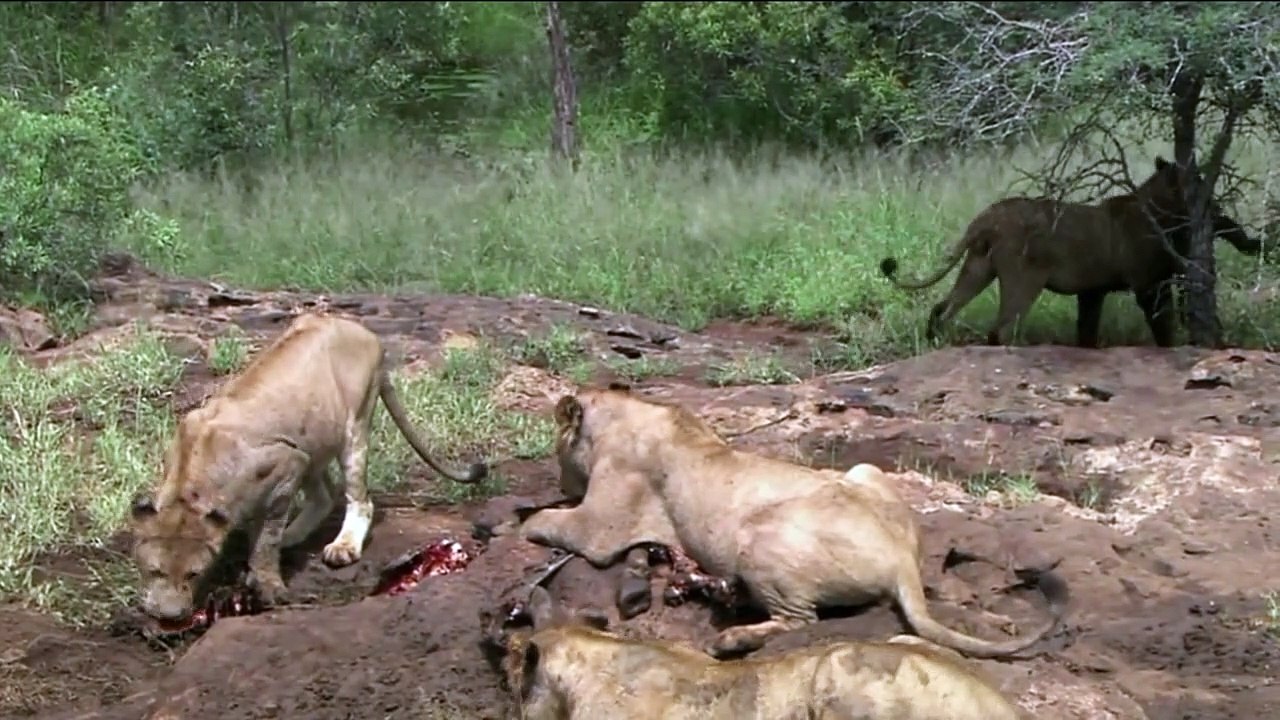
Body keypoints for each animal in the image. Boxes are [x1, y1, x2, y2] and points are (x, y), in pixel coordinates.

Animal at [129, 313, 489, 625]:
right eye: (154, 571)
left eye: (193, 574)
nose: (169, 615)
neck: (190, 487)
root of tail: (362, 331)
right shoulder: (294, 459)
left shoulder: (285, 467)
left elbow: (266, 541)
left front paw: (268, 584)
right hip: (312, 442)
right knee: (324, 496)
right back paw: (293, 537)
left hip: (354, 426)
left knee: (358, 499)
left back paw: (342, 547)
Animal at [518, 386, 1068, 659]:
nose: (562, 479)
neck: (629, 412)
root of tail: (901, 561)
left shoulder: (599, 529)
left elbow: (544, 521)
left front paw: (525, 517)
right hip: (863, 471)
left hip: (759, 536)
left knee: (799, 621)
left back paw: (730, 636)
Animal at [879, 156, 1259, 348]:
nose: (1214, 203)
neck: (1163, 213)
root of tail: (986, 217)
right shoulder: (1149, 286)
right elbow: (1162, 327)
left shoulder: (1092, 292)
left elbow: (1086, 332)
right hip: (1023, 280)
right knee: (1000, 327)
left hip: (977, 267)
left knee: (943, 309)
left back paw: (936, 343)